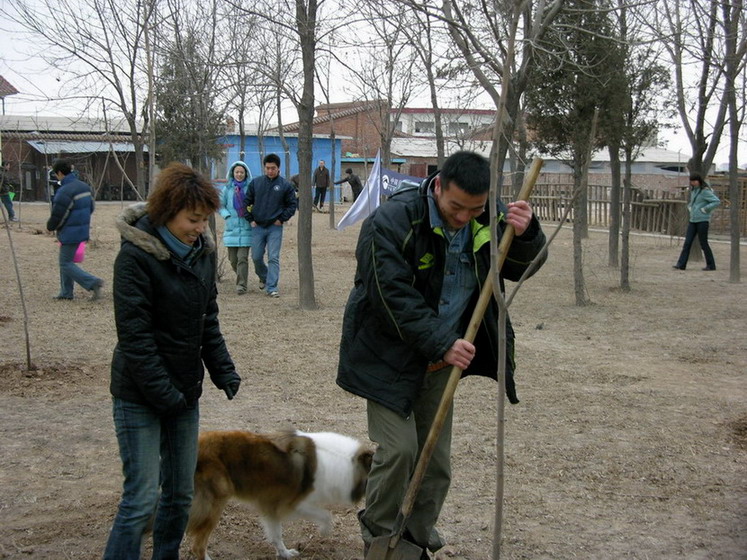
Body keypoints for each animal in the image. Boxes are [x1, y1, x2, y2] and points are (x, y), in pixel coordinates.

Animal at [187, 430, 374, 556]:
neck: (344, 461)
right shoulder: (291, 503)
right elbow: (326, 515)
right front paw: (324, 531)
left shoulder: (270, 505)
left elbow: (276, 534)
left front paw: (284, 554)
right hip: (214, 503)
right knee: (197, 546)